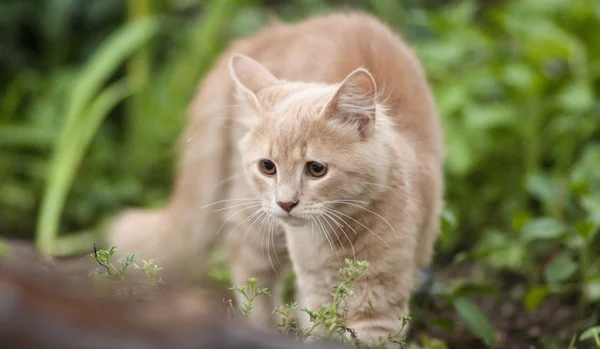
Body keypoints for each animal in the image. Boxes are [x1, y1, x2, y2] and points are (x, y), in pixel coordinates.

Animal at [109, 11, 446, 346]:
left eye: (316, 169)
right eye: (268, 167)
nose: (286, 203)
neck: (331, 240)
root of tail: (274, 32)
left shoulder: (378, 308)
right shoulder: (316, 292)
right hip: (255, 224)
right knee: (251, 283)